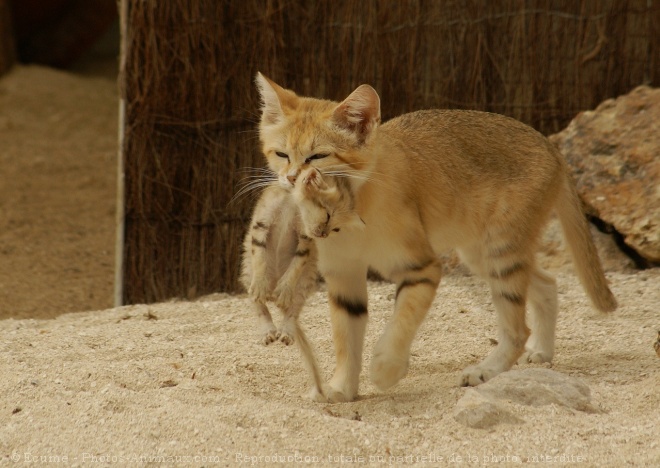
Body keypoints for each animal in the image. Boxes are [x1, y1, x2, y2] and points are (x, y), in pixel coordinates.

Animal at [254, 72, 620, 402]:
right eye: (282, 154)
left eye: (317, 157)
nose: (291, 179)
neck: (356, 208)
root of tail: (550, 145)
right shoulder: (344, 277)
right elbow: (346, 337)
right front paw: (341, 389)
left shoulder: (421, 268)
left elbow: (401, 324)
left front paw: (385, 369)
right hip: (483, 254)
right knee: (546, 283)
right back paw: (542, 351)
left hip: (500, 253)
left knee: (518, 329)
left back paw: (486, 370)